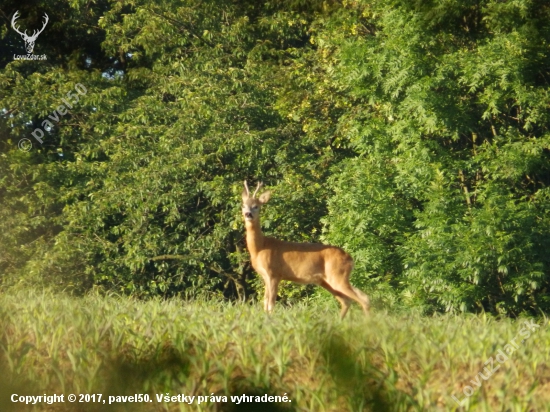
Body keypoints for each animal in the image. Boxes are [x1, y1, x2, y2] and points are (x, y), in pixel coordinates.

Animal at [242, 180, 370, 318]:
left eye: (256, 206)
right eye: (243, 205)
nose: (248, 214)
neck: (260, 247)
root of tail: (350, 258)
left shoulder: (274, 274)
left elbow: (270, 304)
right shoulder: (266, 276)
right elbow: (265, 303)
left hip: (338, 275)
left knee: (363, 298)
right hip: (327, 281)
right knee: (347, 300)